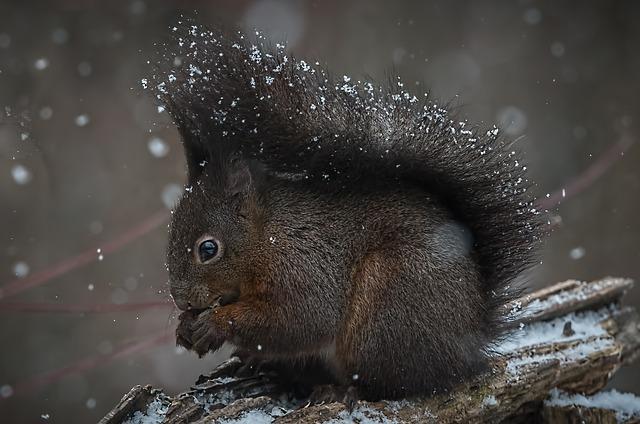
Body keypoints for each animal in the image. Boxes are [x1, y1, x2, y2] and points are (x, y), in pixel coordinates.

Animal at [152, 24, 544, 404]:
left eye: (208, 249)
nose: (182, 300)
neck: (267, 237)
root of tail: (471, 341)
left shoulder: (304, 265)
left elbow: (300, 319)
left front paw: (215, 324)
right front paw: (184, 327)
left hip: (387, 309)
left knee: (392, 384)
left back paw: (342, 390)